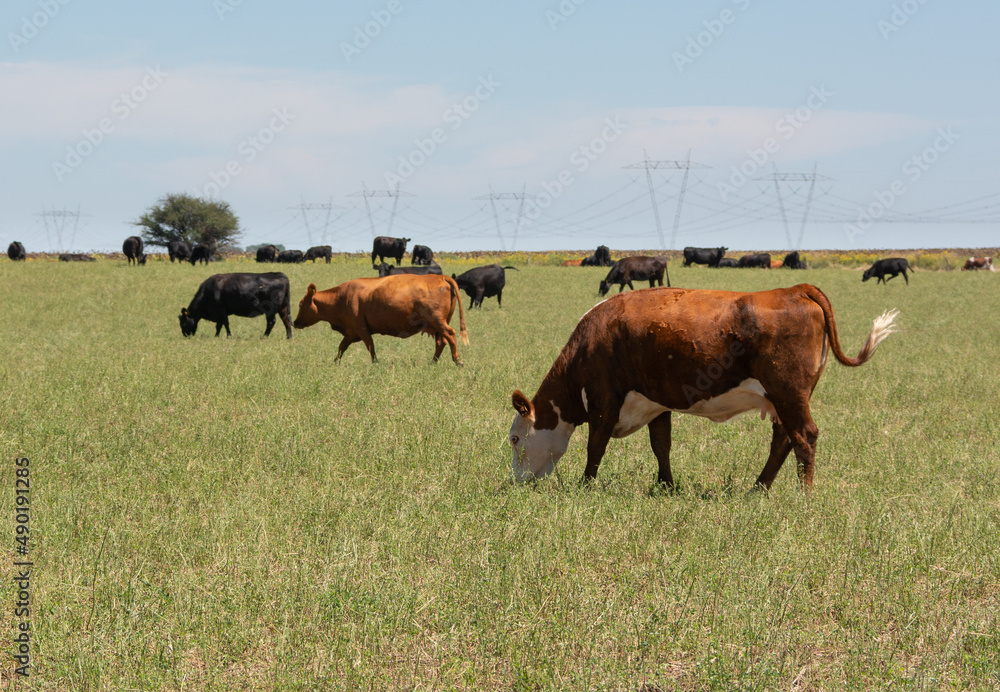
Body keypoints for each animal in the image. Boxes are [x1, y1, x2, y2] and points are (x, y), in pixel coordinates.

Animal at [292, 274, 468, 365]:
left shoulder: (361, 329)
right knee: (441, 341)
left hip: (438, 322)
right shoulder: (350, 332)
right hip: (438, 325)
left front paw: (376, 364)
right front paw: (335, 362)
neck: (341, 298)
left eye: (300, 304)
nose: (295, 322)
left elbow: (370, 346)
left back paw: (457, 360)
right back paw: (433, 362)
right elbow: (341, 347)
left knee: (450, 335)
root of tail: (440, 276)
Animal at [508, 284, 899, 491]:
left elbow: (595, 447)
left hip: (789, 393)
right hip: (783, 399)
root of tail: (793, 289)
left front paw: (586, 486)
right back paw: (758, 488)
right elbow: (660, 445)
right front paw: (665, 486)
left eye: (514, 438)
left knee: (804, 437)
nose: (518, 482)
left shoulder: (604, 399)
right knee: (783, 440)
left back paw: (804, 495)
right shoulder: (655, 401)